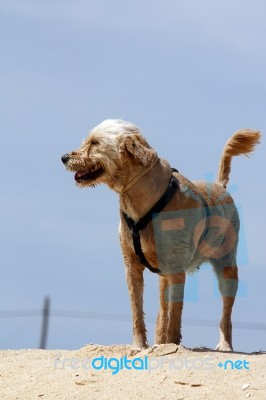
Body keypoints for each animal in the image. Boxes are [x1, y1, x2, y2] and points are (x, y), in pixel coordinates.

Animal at [61, 120, 260, 352]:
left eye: (95, 142)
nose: (64, 157)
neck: (141, 200)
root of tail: (220, 186)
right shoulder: (132, 267)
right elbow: (139, 311)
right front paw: (140, 345)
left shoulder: (176, 269)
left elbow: (175, 314)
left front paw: (173, 345)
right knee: (162, 313)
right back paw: (159, 342)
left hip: (226, 267)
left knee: (225, 313)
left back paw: (225, 344)